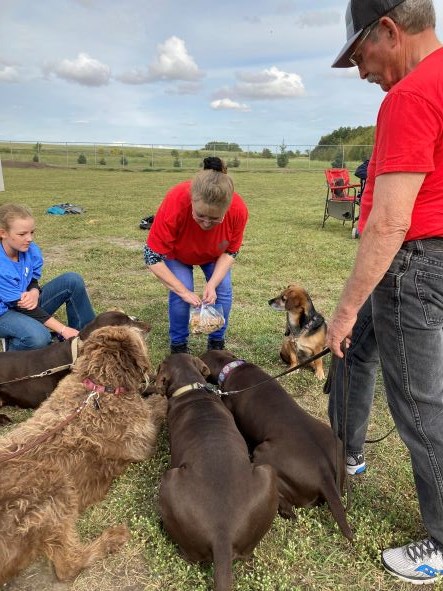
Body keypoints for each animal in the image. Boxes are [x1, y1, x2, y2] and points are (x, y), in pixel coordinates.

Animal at [0, 326, 168, 584]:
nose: (145, 328)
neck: (98, 387)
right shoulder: (143, 440)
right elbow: (159, 406)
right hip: (53, 485)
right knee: (68, 568)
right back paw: (112, 539)